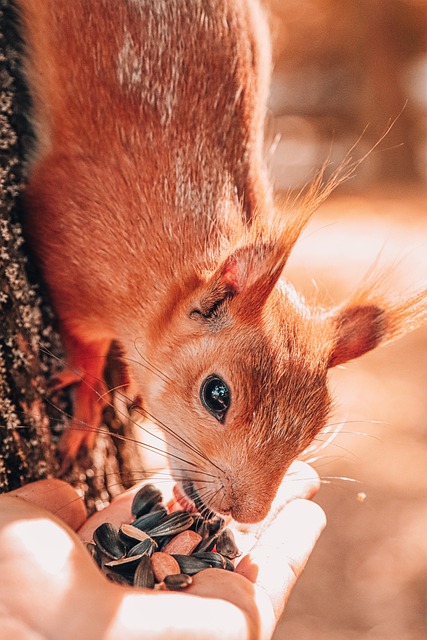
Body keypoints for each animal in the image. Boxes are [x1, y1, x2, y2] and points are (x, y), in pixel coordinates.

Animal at [15, 0, 427, 520]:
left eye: (317, 427)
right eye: (216, 395)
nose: (246, 515)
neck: (162, 279)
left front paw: (125, 380)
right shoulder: (67, 237)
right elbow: (83, 339)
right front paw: (89, 392)